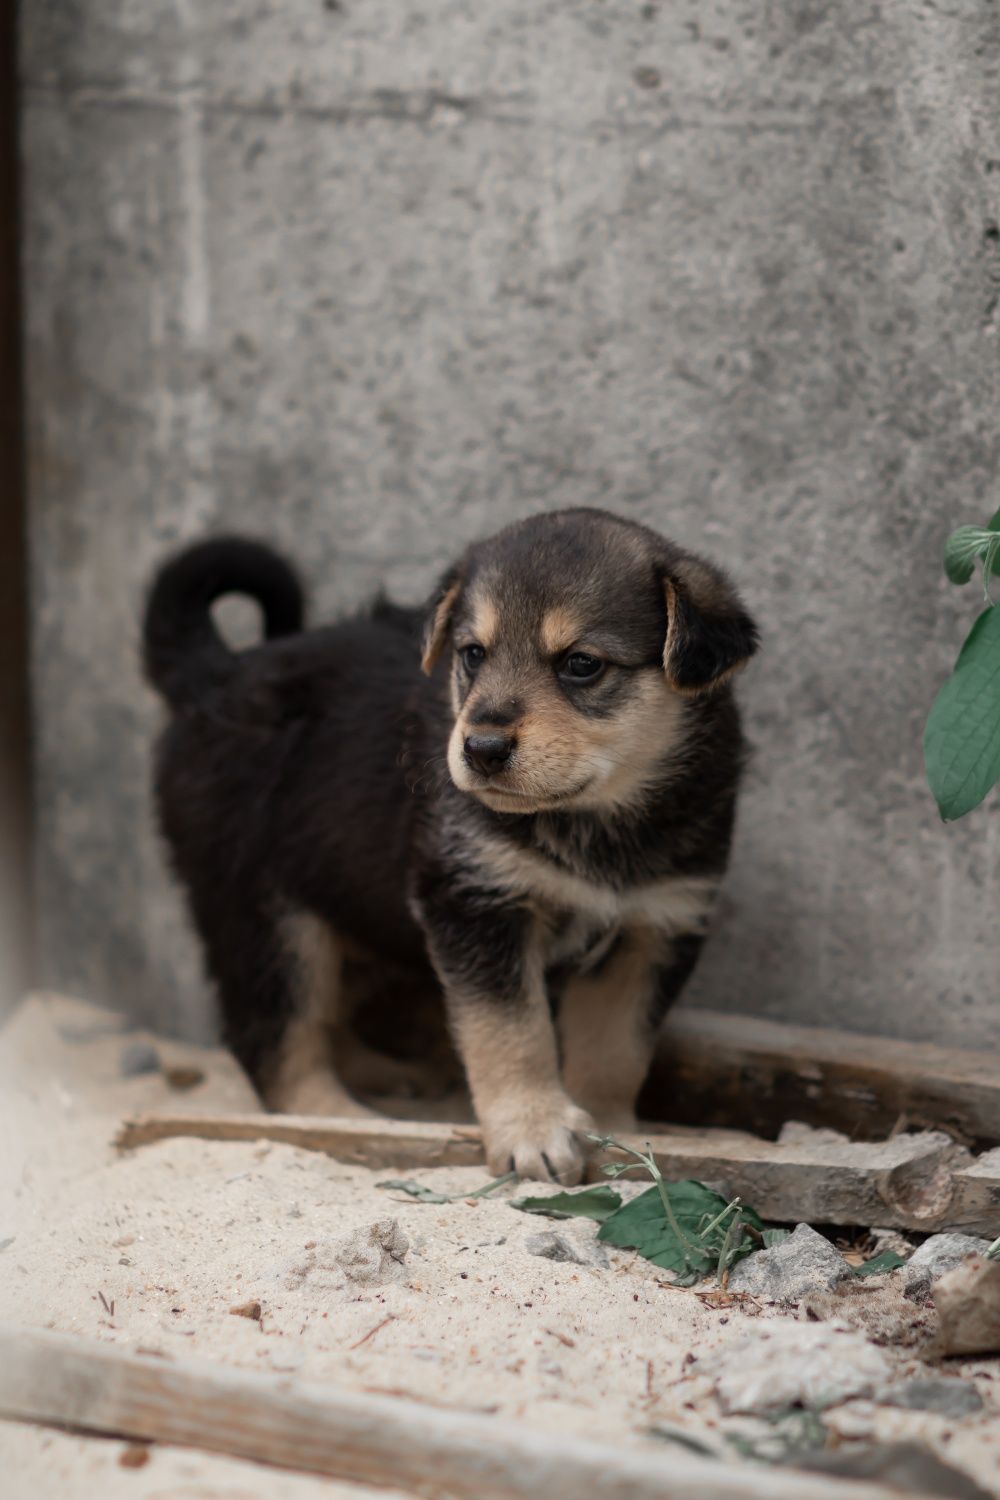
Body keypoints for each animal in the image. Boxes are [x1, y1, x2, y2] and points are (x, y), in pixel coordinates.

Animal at [144, 513, 758, 1182]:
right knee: (275, 1034)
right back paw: (345, 1119)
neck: (595, 820)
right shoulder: (476, 902)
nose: (481, 749)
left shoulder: (656, 925)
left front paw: (618, 1133)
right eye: (472, 654)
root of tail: (220, 676)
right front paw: (534, 1132)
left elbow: (616, 1047)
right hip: (264, 912)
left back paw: (384, 1075)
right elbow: (512, 1032)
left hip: (342, 902)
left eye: (581, 664)